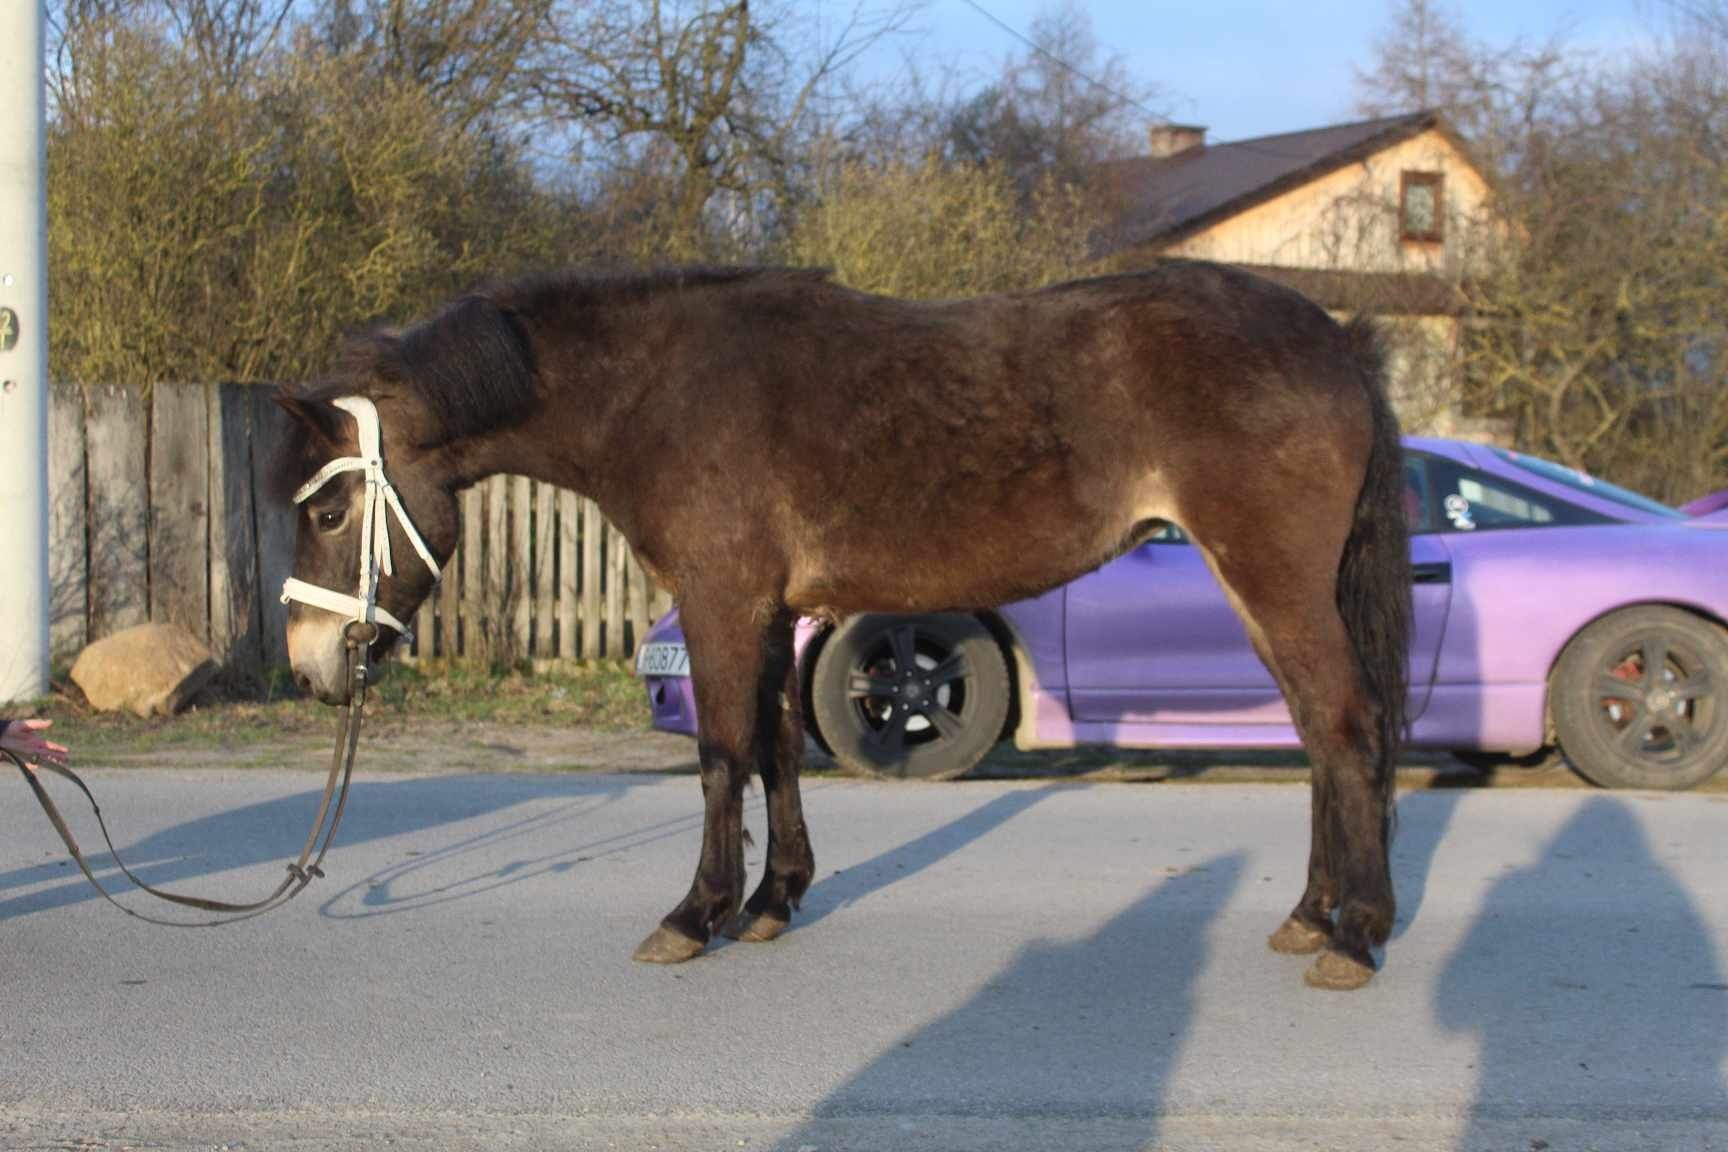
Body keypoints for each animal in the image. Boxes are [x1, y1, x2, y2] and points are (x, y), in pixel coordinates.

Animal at [269, 264, 1403, 994]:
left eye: (327, 514)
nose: (311, 665)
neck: (660, 395)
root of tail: (1337, 340)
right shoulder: (775, 611)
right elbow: (777, 748)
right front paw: (772, 902)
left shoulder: (725, 600)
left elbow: (722, 755)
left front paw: (695, 916)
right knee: (1318, 735)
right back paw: (1312, 916)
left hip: (1274, 579)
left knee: (1346, 729)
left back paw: (1356, 937)